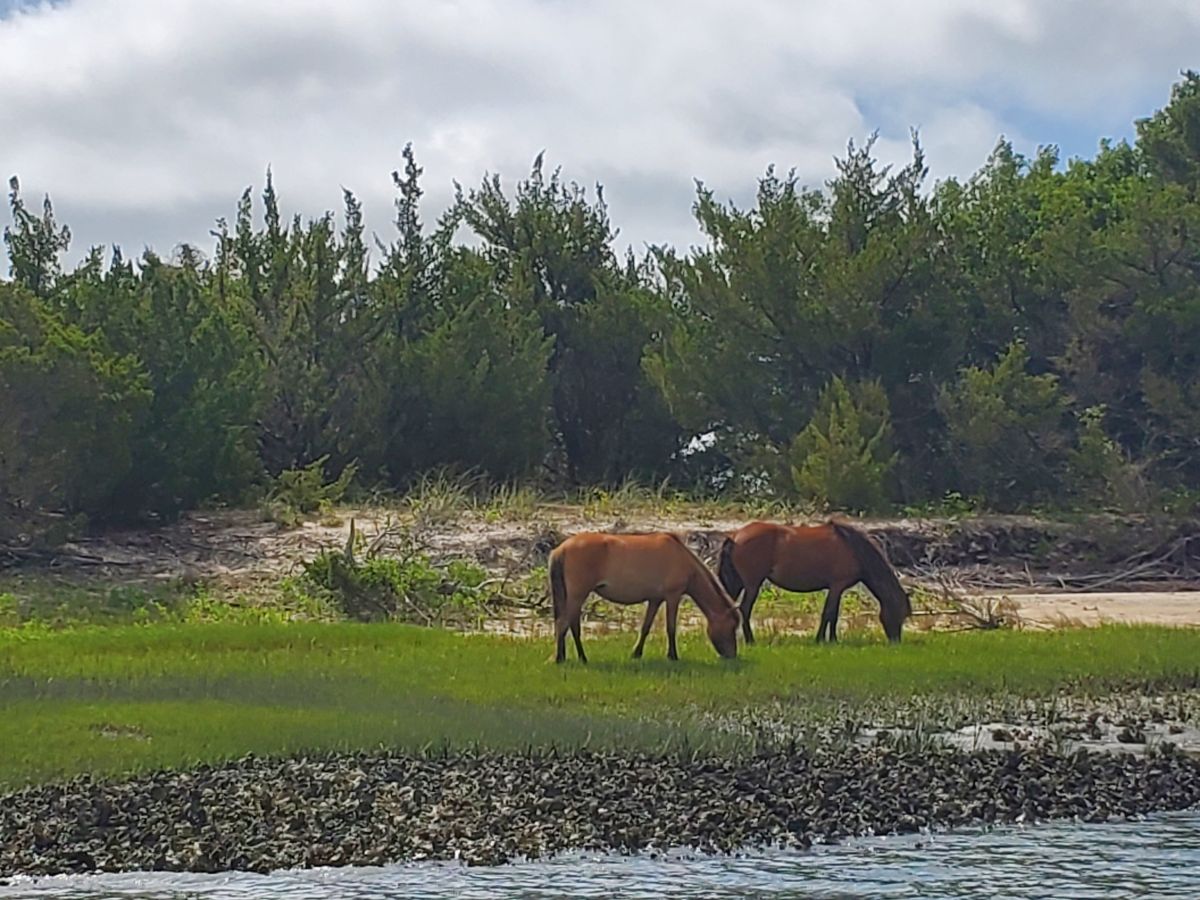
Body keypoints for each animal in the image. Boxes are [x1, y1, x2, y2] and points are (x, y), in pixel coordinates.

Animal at [548, 531, 742, 663]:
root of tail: (561, 549)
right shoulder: (673, 596)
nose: (732, 655)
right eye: (731, 626)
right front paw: (673, 656)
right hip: (578, 594)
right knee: (565, 623)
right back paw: (568, 658)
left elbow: (646, 627)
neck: (682, 557)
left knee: (568, 624)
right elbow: (671, 628)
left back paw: (571, 657)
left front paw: (636, 654)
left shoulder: (655, 600)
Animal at [717, 520, 912, 644]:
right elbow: (828, 613)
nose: (896, 641)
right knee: (745, 609)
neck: (855, 549)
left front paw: (832, 640)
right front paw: (821, 640)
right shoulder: (837, 586)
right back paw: (750, 640)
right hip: (752, 585)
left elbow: (833, 615)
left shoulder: (837, 589)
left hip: (739, 584)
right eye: (899, 613)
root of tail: (736, 535)